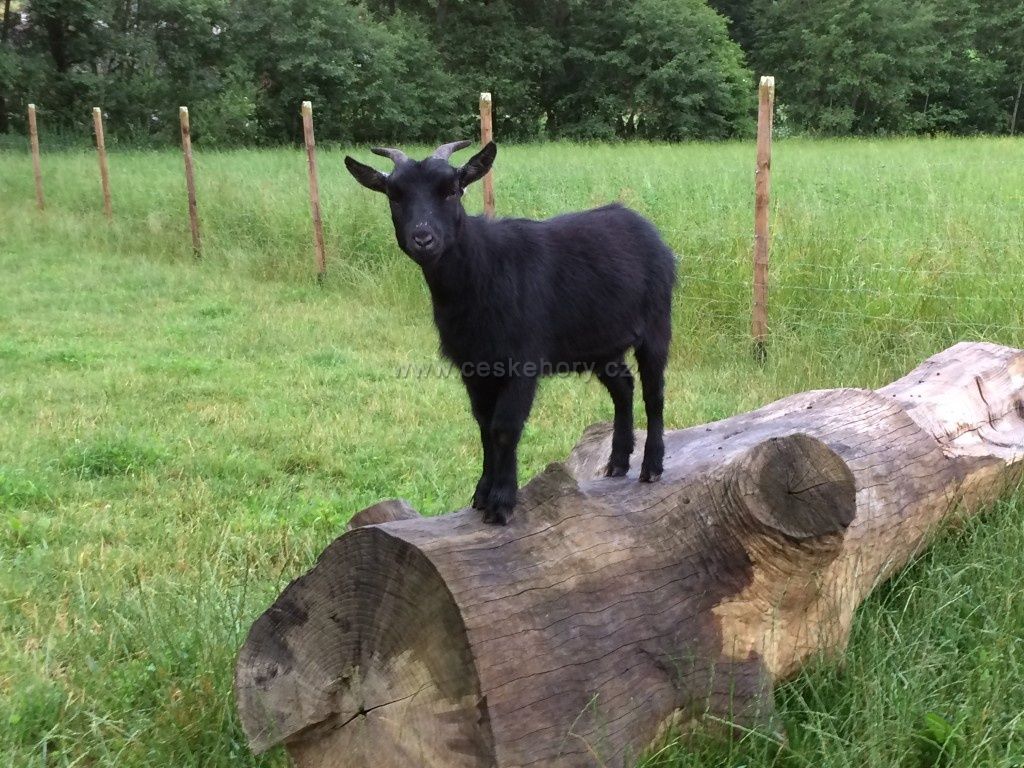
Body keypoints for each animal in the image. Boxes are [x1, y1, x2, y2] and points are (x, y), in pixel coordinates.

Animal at [345, 141, 676, 524]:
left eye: (452, 190)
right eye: (394, 196)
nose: (423, 239)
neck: (483, 270)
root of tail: (645, 228)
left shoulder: (522, 360)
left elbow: (504, 428)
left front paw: (501, 502)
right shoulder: (474, 366)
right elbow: (484, 426)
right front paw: (481, 493)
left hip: (656, 324)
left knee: (654, 394)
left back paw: (651, 467)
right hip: (600, 345)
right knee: (623, 387)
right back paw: (618, 461)